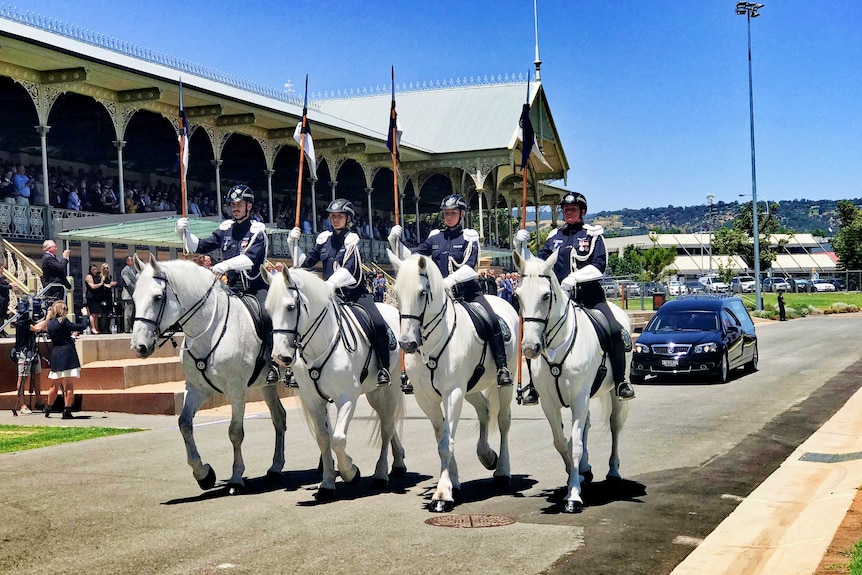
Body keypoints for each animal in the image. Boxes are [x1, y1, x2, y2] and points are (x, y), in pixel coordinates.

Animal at [132, 256, 286, 496]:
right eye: (134, 298)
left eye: (157, 297)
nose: (139, 346)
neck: (211, 328)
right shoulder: (197, 388)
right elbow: (185, 423)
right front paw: (203, 474)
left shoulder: (237, 390)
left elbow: (235, 432)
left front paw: (235, 478)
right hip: (267, 385)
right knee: (279, 417)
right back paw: (276, 468)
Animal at [264, 268, 406, 502]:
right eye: (268, 311)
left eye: (291, 307)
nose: (280, 357)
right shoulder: (313, 401)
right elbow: (324, 439)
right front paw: (327, 484)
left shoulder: (347, 397)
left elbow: (338, 439)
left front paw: (351, 472)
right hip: (375, 393)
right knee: (388, 421)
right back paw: (399, 462)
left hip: (389, 388)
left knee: (386, 427)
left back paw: (380, 474)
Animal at [390, 252, 520, 512]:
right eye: (397, 294)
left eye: (422, 293)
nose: (407, 343)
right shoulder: (425, 398)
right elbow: (442, 437)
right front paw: (453, 482)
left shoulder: (453, 392)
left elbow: (445, 443)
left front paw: (442, 494)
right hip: (471, 389)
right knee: (484, 410)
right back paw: (486, 455)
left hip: (505, 382)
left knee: (503, 421)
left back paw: (502, 471)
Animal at [512, 251, 636, 512]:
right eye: (517, 295)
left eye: (546, 295)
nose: (529, 347)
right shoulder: (549, 403)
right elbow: (562, 442)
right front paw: (575, 474)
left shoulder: (579, 399)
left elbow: (575, 444)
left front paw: (573, 496)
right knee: (586, 426)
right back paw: (586, 469)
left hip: (614, 393)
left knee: (615, 426)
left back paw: (614, 472)